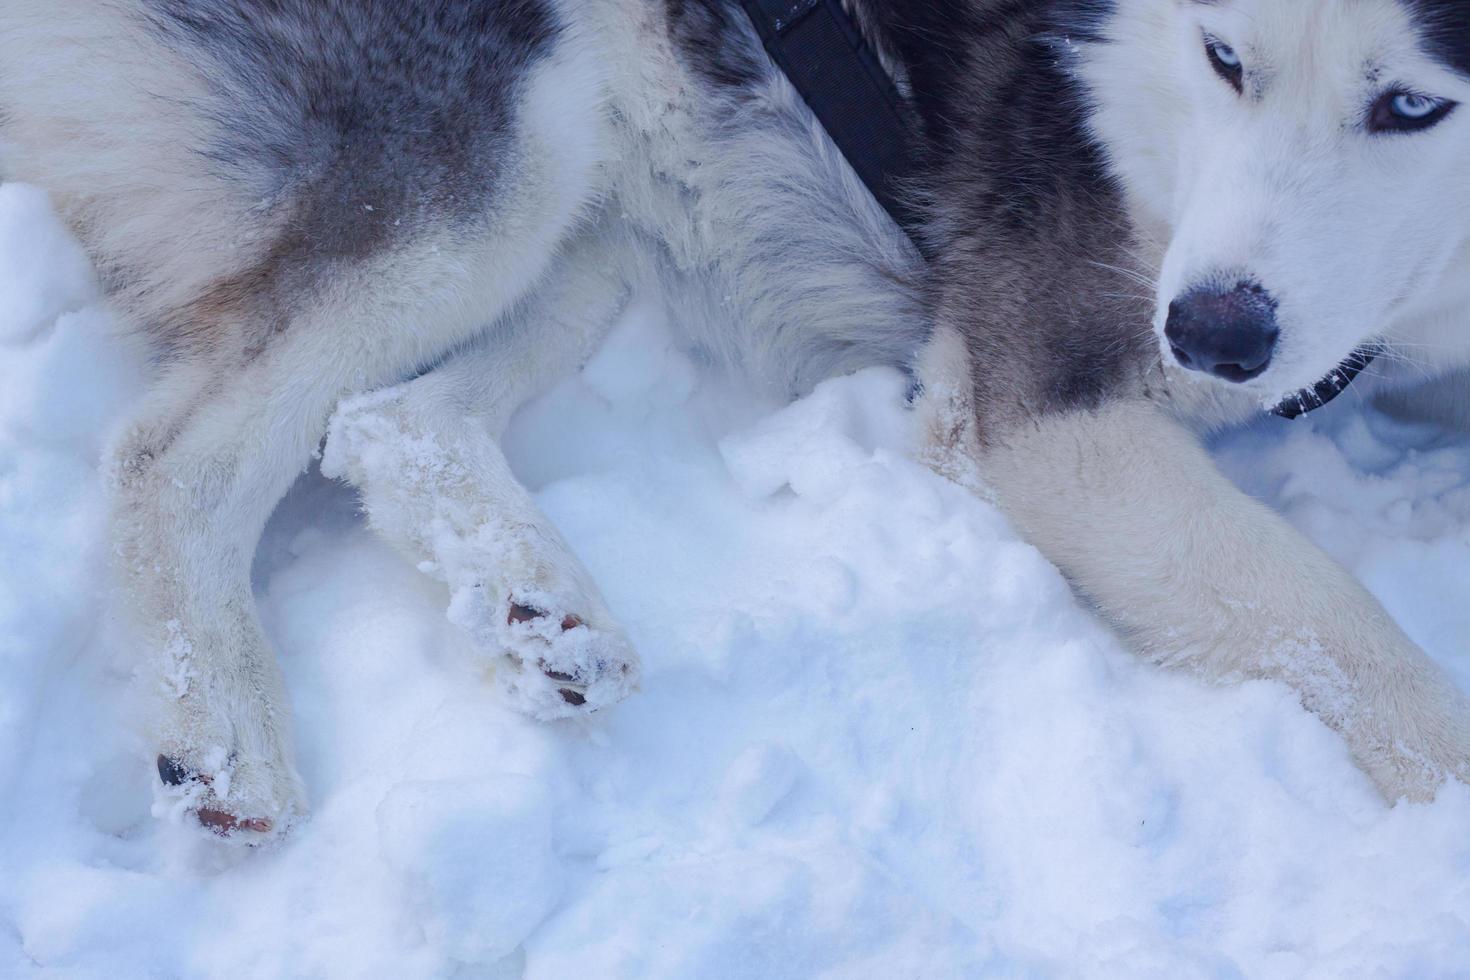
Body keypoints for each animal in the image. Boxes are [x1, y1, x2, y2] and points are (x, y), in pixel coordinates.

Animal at [0, 0, 1464, 840]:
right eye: (1225, 61)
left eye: (1411, 103)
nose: (1212, 335)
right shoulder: (1043, 407)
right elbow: (1354, 637)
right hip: (506, 162)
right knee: (174, 450)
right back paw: (225, 726)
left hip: (599, 225)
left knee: (383, 419)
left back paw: (537, 603)